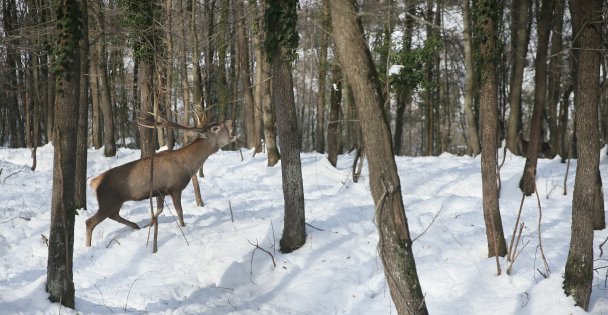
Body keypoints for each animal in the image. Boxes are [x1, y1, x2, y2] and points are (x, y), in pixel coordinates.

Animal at [85, 115, 238, 248]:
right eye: (215, 128)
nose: (231, 121)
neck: (189, 164)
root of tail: (94, 182)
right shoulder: (175, 187)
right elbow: (179, 211)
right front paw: (183, 227)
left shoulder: (160, 192)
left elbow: (158, 210)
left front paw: (149, 225)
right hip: (108, 200)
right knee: (90, 222)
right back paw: (88, 246)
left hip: (116, 201)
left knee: (114, 215)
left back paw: (136, 226)